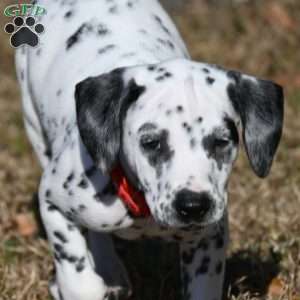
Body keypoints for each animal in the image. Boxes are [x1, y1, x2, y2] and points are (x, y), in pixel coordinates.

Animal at [15, 0, 284, 300]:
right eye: (151, 142)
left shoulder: (208, 238)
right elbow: (80, 278)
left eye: (221, 141)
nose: (193, 206)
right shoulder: (53, 202)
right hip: (34, 122)